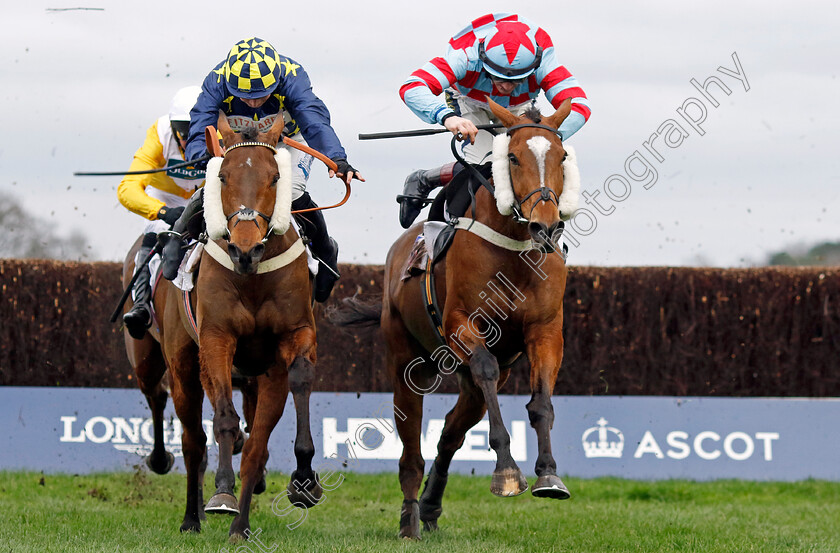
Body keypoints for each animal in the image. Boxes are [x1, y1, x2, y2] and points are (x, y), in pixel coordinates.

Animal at [121, 112, 322, 540]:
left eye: (275, 178)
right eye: (223, 177)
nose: (245, 250)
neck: (252, 278)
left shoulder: (289, 343)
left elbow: (265, 433)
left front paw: (296, 485)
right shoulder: (216, 339)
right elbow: (224, 423)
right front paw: (223, 496)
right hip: (171, 361)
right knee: (187, 432)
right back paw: (189, 513)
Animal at [334, 98, 576, 536]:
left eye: (561, 156)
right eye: (512, 157)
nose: (545, 226)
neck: (514, 250)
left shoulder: (546, 332)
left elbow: (541, 402)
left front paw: (549, 474)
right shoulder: (462, 324)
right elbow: (484, 368)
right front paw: (507, 472)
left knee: (450, 431)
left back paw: (430, 505)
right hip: (406, 362)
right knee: (411, 445)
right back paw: (410, 519)